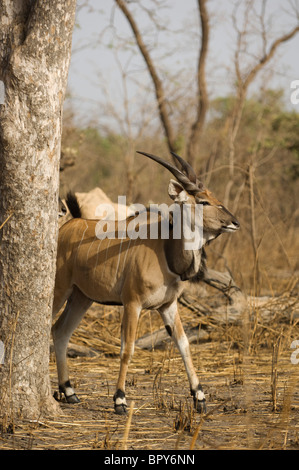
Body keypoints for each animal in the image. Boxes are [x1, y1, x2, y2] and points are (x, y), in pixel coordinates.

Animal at [52, 151, 241, 414]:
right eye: (203, 201)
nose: (234, 222)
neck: (166, 248)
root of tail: (68, 225)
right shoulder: (133, 304)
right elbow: (127, 348)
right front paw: (120, 400)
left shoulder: (168, 306)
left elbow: (184, 344)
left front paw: (200, 396)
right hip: (60, 291)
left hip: (82, 298)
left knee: (60, 331)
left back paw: (69, 391)